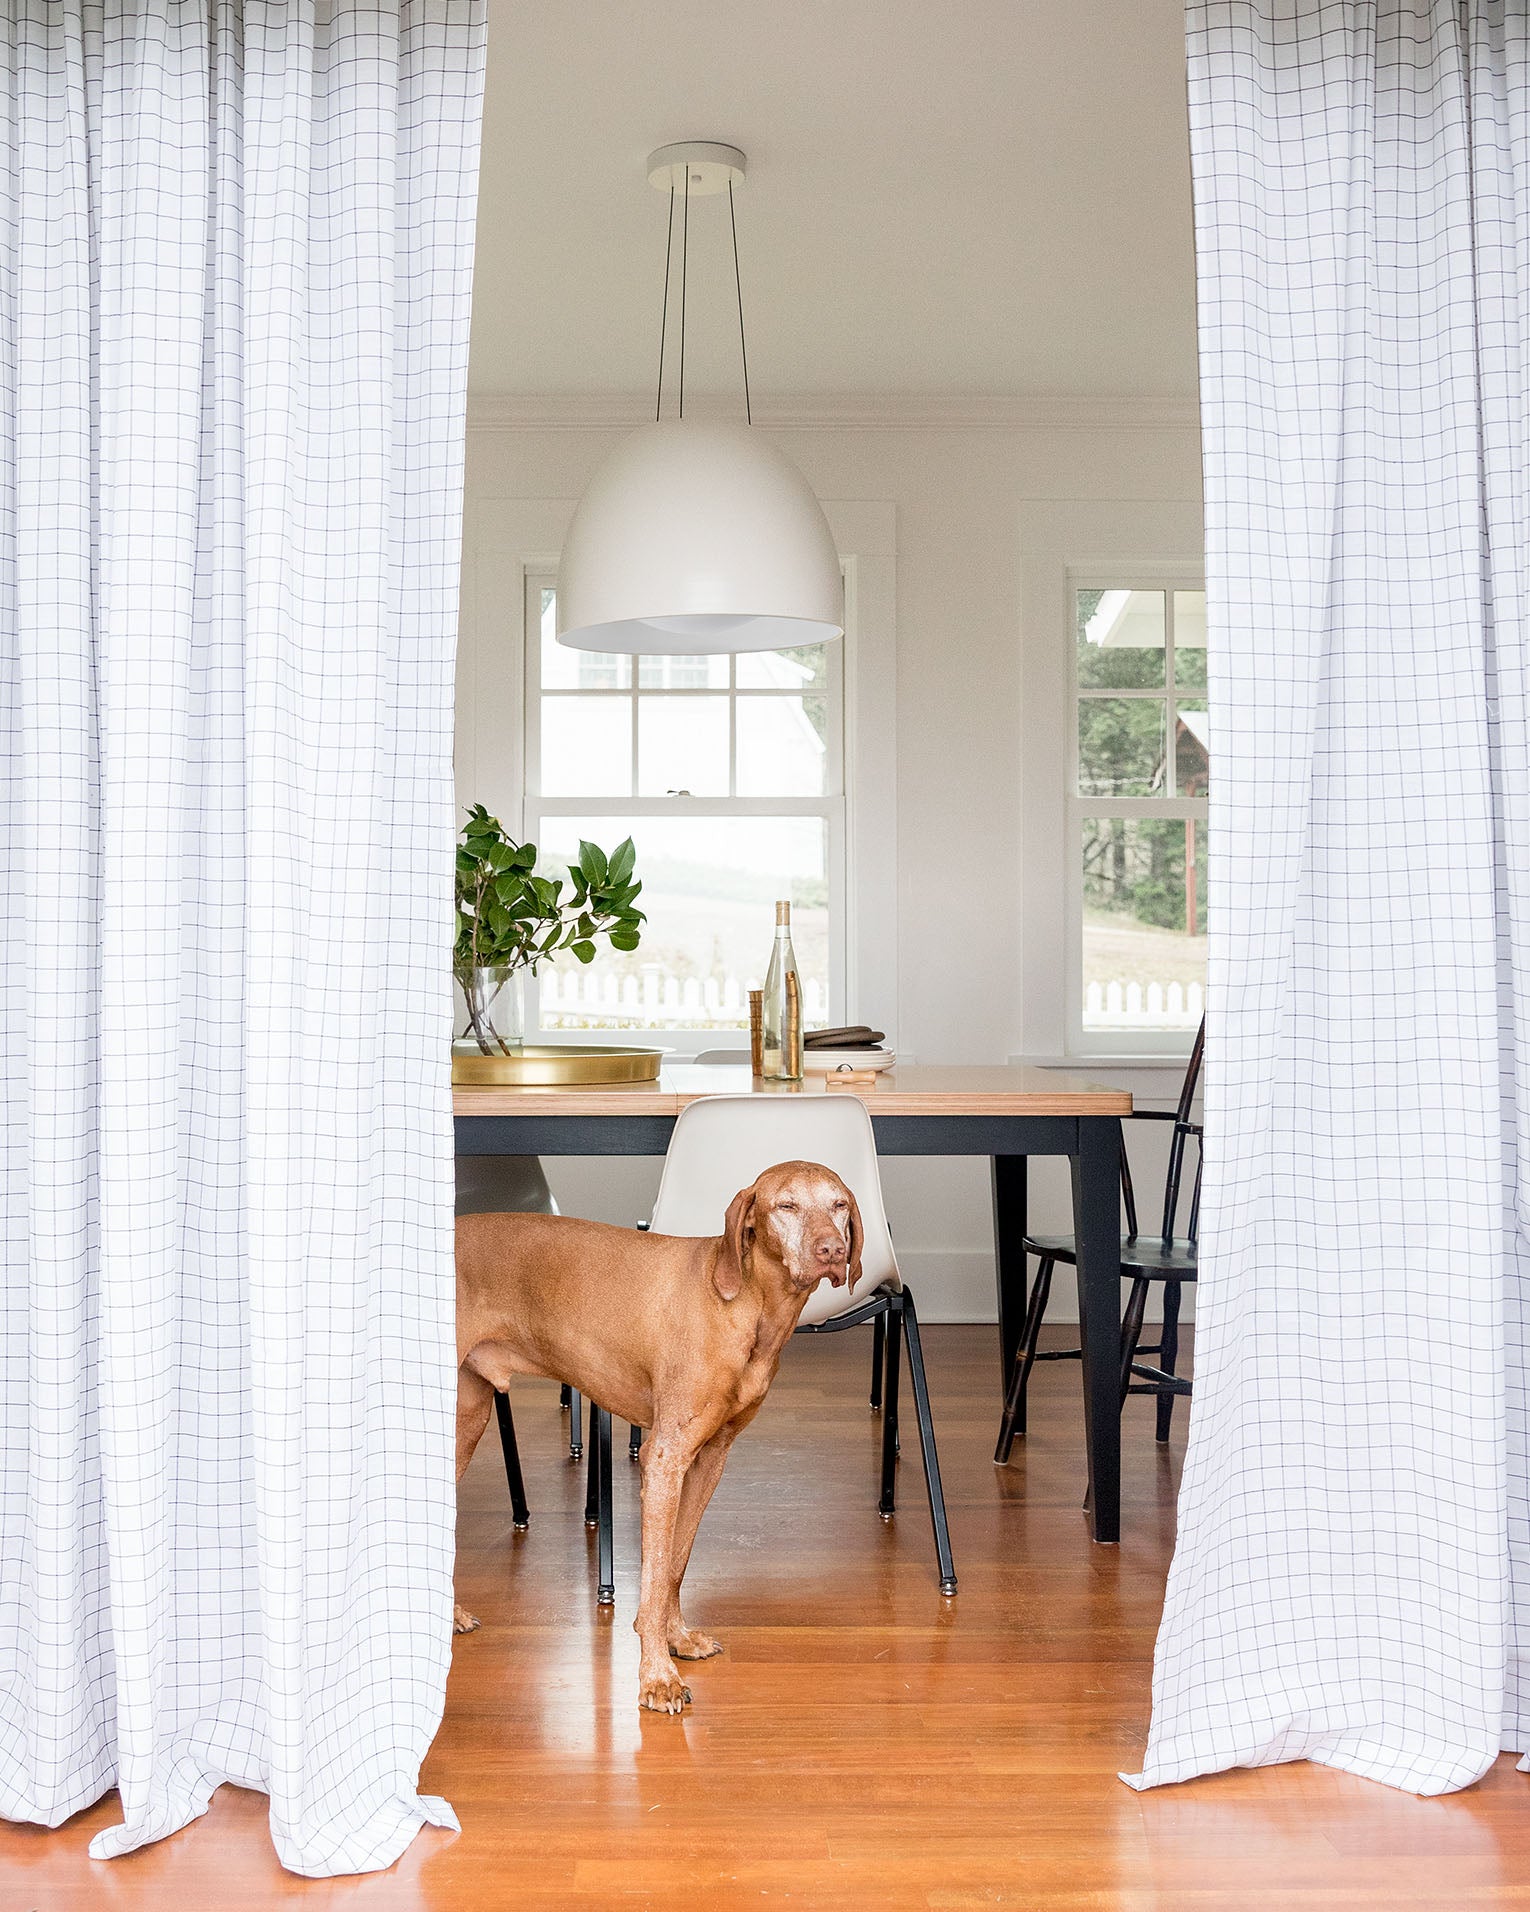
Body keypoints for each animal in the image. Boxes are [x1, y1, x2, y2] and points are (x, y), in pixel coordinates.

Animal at [455, 1154, 860, 1713]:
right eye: (786, 1205)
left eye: (838, 1204)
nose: (832, 1250)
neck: (745, 1304)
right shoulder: (664, 1459)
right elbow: (651, 1576)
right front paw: (656, 1676)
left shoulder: (709, 1458)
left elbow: (674, 1564)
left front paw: (677, 1639)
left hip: (466, 1420)